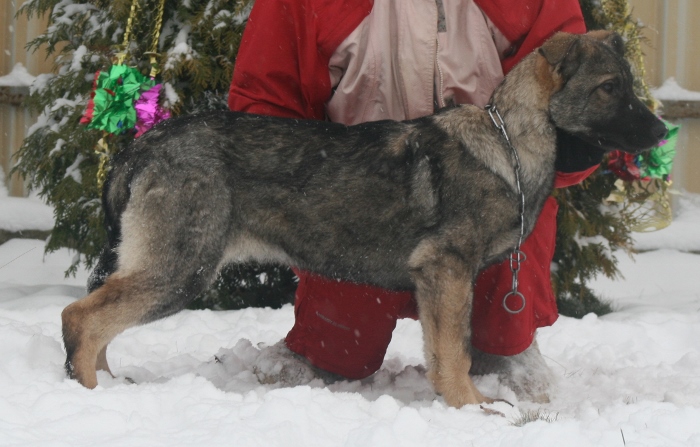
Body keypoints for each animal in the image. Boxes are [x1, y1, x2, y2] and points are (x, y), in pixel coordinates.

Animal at [64, 31, 668, 410]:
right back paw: (89, 397)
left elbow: (445, 350)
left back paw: (110, 386)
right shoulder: (446, 272)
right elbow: (455, 352)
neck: (511, 144)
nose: (663, 132)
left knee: (98, 322)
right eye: (609, 88)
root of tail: (144, 144)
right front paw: (472, 408)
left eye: (629, 85)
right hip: (180, 270)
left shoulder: (443, 282)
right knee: (81, 318)